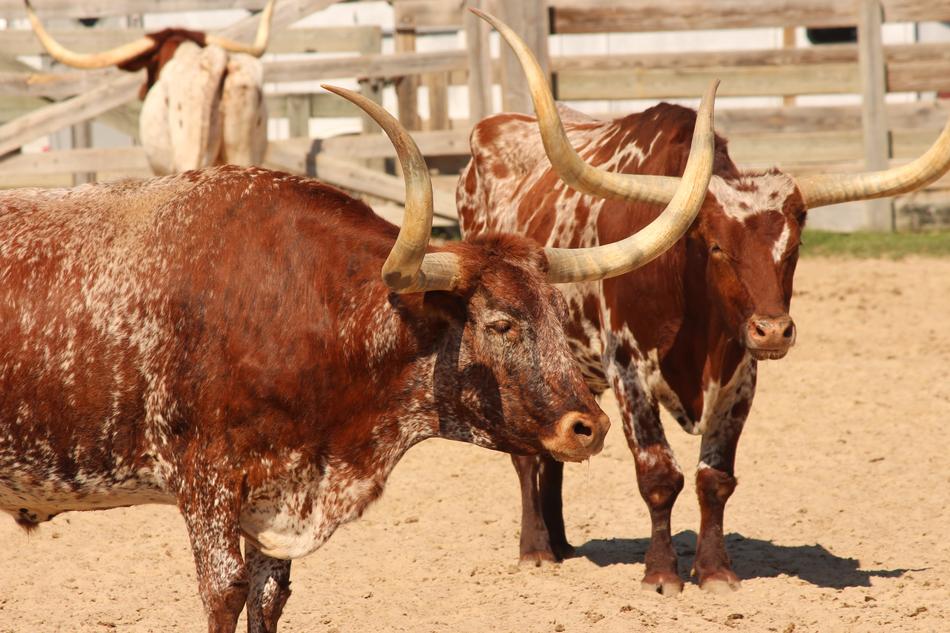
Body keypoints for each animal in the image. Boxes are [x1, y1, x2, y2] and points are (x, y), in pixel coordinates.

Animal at [0, 82, 718, 632]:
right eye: (500, 323)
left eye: (556, 316)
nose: (587, 427)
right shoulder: (206, 487)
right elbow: (225, 594)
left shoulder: (276, 504)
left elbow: (268, 597)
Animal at [460, 10, 950, 595]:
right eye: (716, 246)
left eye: (795, 245)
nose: (773, 330)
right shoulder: (628, 370)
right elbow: (658, 473)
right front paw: (660, 574)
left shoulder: (740, 375)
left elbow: (714, 479)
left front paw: (715, 572)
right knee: (525, 455)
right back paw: (536, 550)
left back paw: (561, 544)